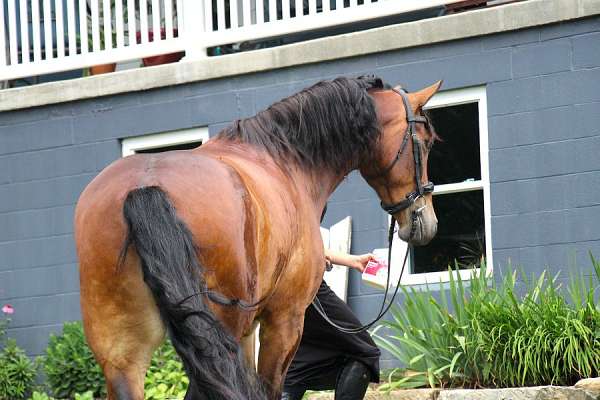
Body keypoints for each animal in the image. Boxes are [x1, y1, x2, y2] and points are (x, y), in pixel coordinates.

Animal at [75, 76, 440, 400]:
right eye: (424, 141)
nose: (427, 223)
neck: (285, 160)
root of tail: (144, 186)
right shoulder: (285, 321)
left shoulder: (250, 333)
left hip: (122, 351)